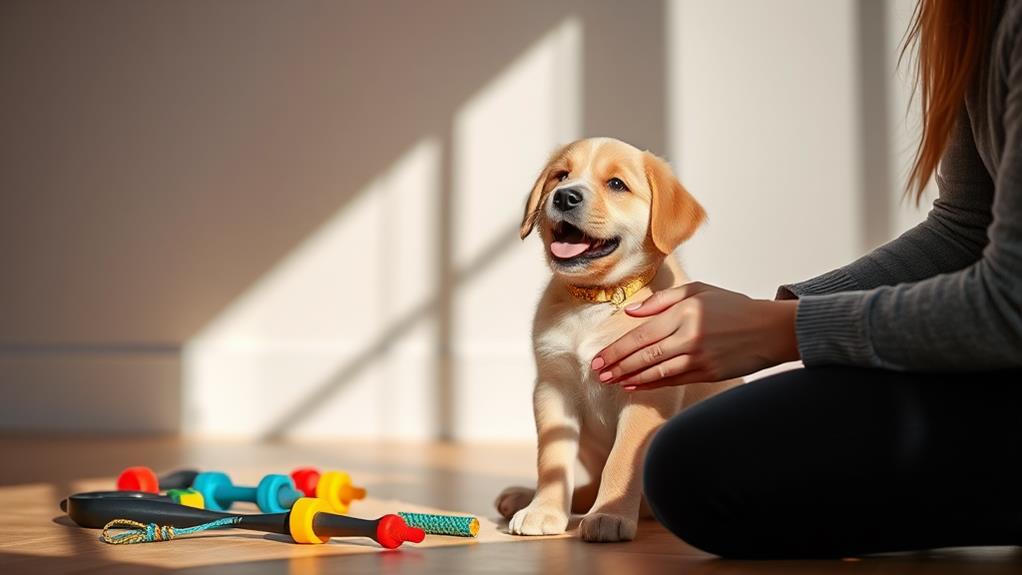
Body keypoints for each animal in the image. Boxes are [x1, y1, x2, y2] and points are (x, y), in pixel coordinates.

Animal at [496, 136, 744, 543]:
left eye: (616, 184)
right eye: (561, 176)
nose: (565, 196)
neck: (597, 300)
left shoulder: (646, 392)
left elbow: (622, 459)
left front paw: (609, 515)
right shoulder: (553, 387)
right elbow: (552, 457)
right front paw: (543, 510)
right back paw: (522, 497)